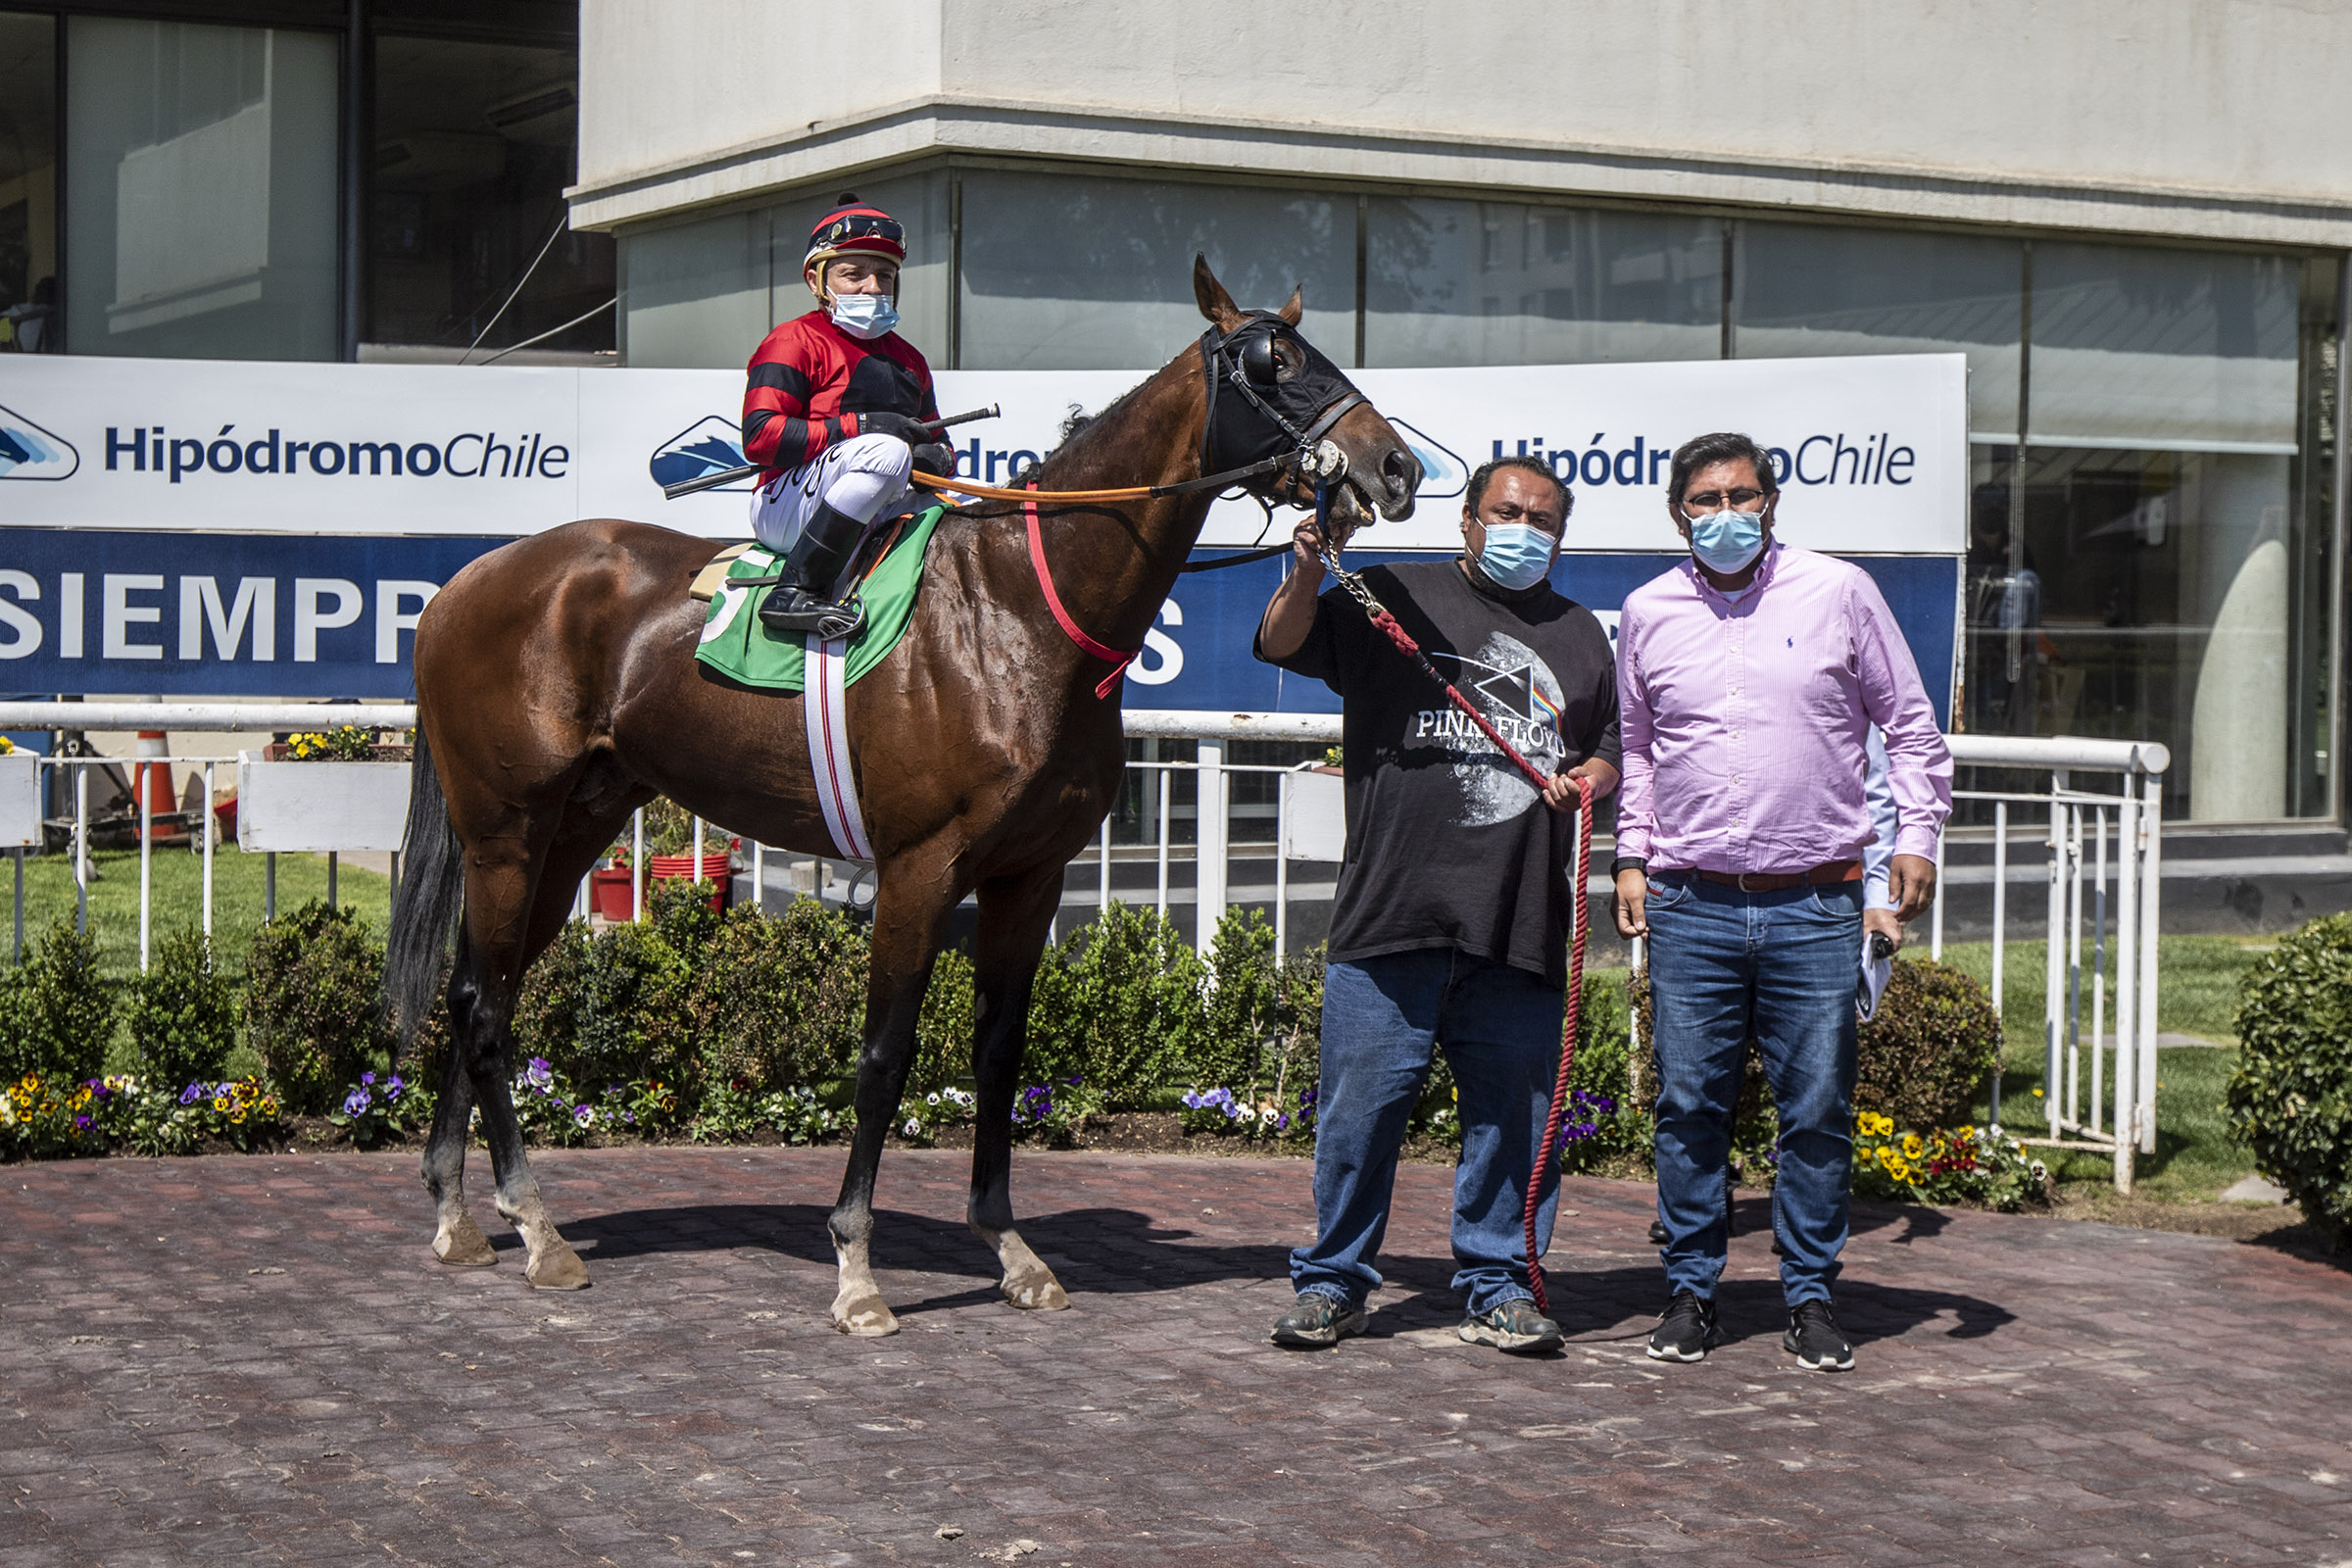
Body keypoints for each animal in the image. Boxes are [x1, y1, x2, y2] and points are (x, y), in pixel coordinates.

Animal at [384, 256, 1423, 1335]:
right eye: (1273, 362)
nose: (1397, 468)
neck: (1020, 609)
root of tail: (465, 582)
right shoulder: (921, 868)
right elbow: (884, 1055)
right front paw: (856, 1267)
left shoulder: (1030, 875)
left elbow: (1000, 1053)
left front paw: (1012, 1249)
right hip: (507, 827)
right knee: (485, 1004)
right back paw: (537, 1225)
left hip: (571, 828)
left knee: (482, 991)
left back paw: (459, 1214)